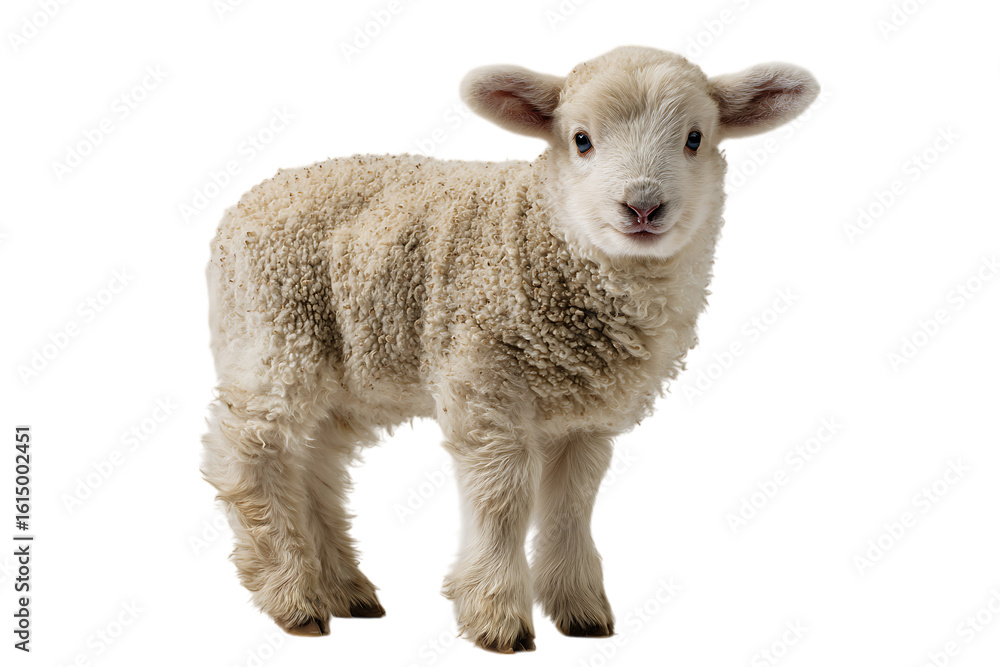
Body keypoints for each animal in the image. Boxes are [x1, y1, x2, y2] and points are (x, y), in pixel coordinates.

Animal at [201, 45, 819, 653]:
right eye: (581, 140)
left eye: (695, 138)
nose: (643, 207)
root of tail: (248, 200)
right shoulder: (485, 385)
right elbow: (503, 499)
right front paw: (497, 614)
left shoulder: (586, 415)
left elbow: (573, 503)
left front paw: (580, 608)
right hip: (275, 334)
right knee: (248, 450)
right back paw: (290, 594)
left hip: (350, 373)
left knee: (315, 462)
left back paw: (344, 589)